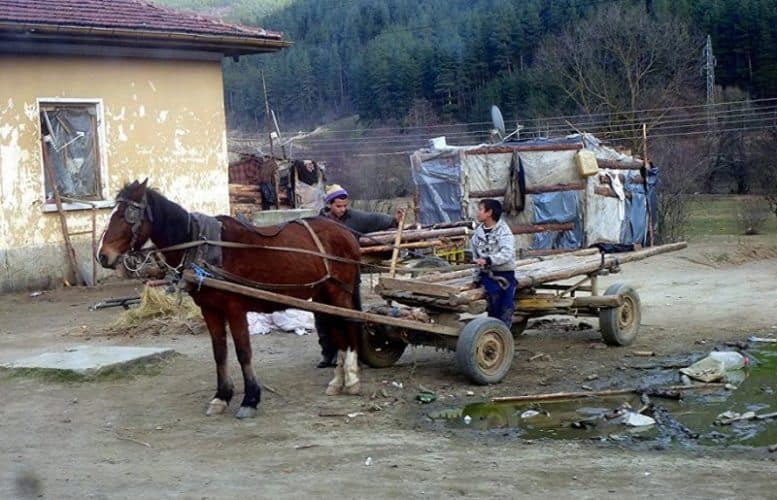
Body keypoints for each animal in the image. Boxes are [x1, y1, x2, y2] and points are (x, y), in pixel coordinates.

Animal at [98, 180, 364, 418]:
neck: (204, 247)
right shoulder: (210, 310)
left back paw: (351, 380)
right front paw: (221, 396)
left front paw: (250, 399)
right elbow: (220, 353)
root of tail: (345, 232)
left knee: (351, 325)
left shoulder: (235, 308)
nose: (102, 256)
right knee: (338, 329)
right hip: (324, 294)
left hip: (339, 293)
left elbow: (243, 352)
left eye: (126, 216)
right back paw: (338, 381)